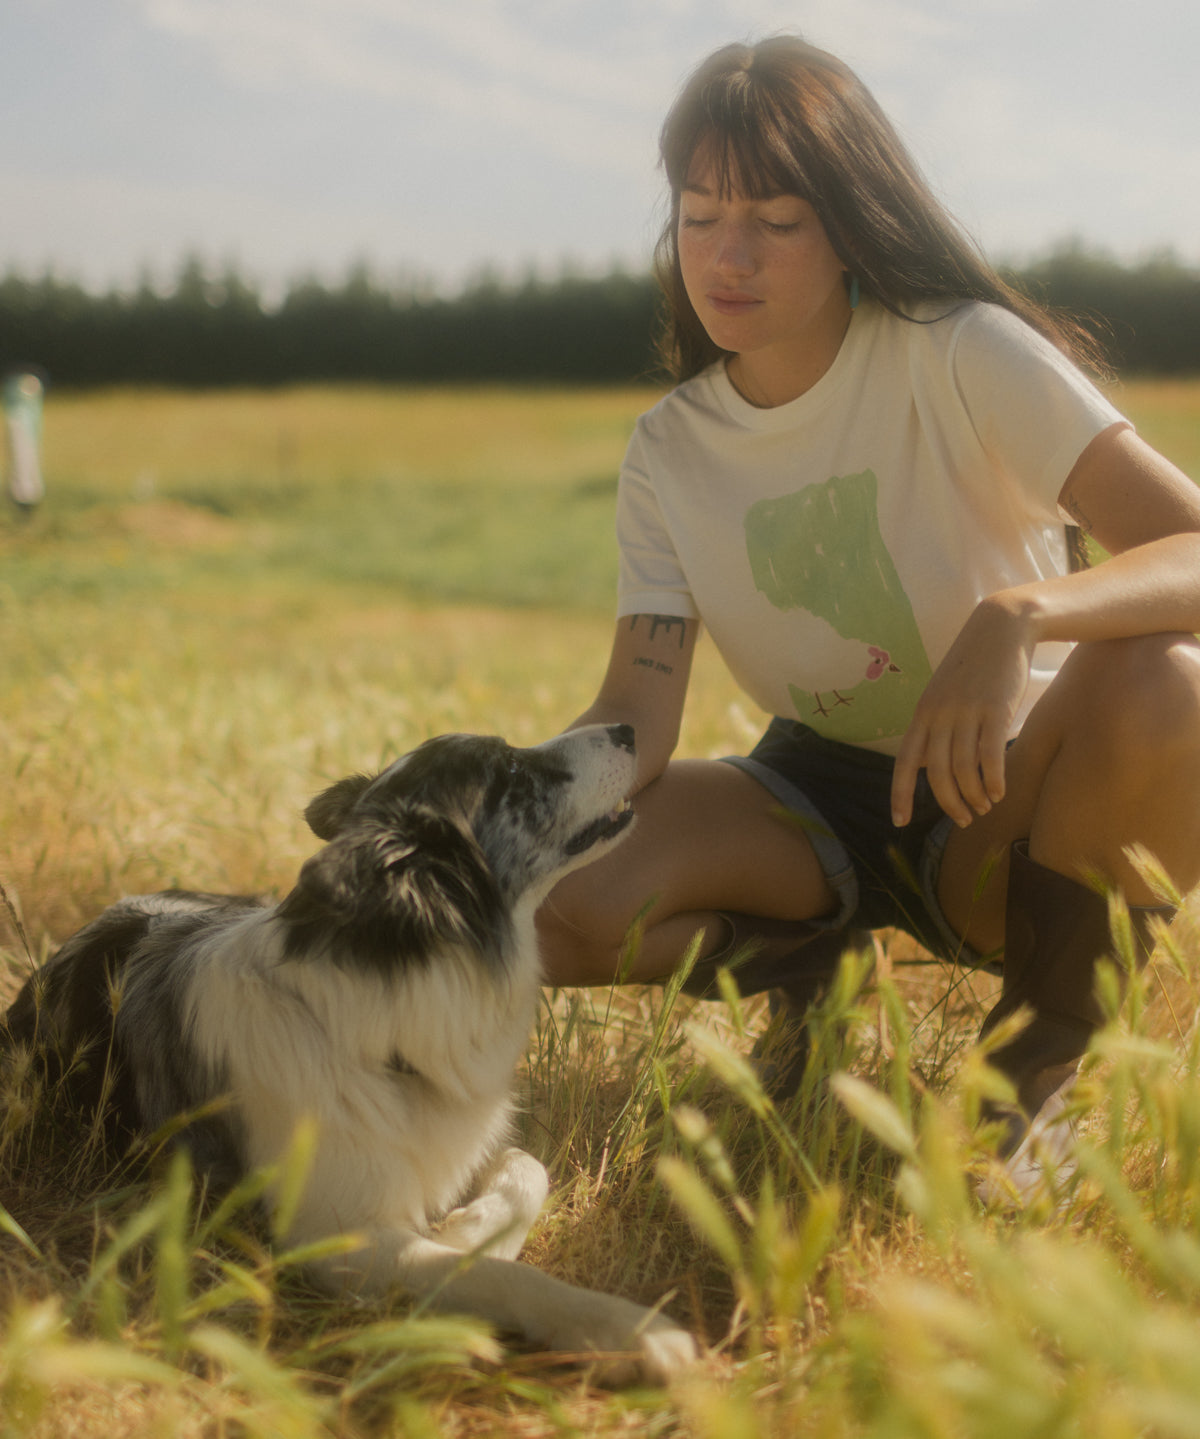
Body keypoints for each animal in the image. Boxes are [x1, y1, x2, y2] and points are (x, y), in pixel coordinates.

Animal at [2, 731, 690, 1381]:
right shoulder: (336, 1237)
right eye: (512, 771)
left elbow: (528, 1168)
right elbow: (497, 1274)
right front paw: (621, 1329)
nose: (630, 729)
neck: (383, 1010)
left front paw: (472, 1232)